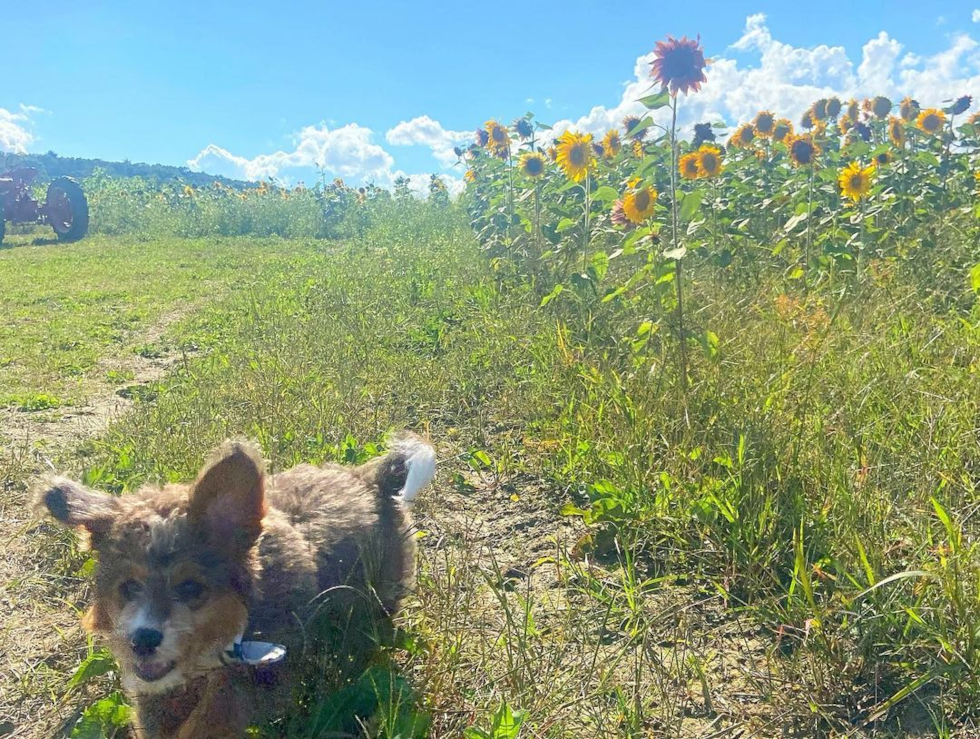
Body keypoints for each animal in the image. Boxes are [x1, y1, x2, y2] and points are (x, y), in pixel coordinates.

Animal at [38, 434, 434, 739]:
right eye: (129, 586)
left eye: (190, 587)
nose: (142, 640)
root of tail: (371, 478)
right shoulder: (157, 692)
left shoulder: (259, 677)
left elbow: (211, 717)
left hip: (377, 603)